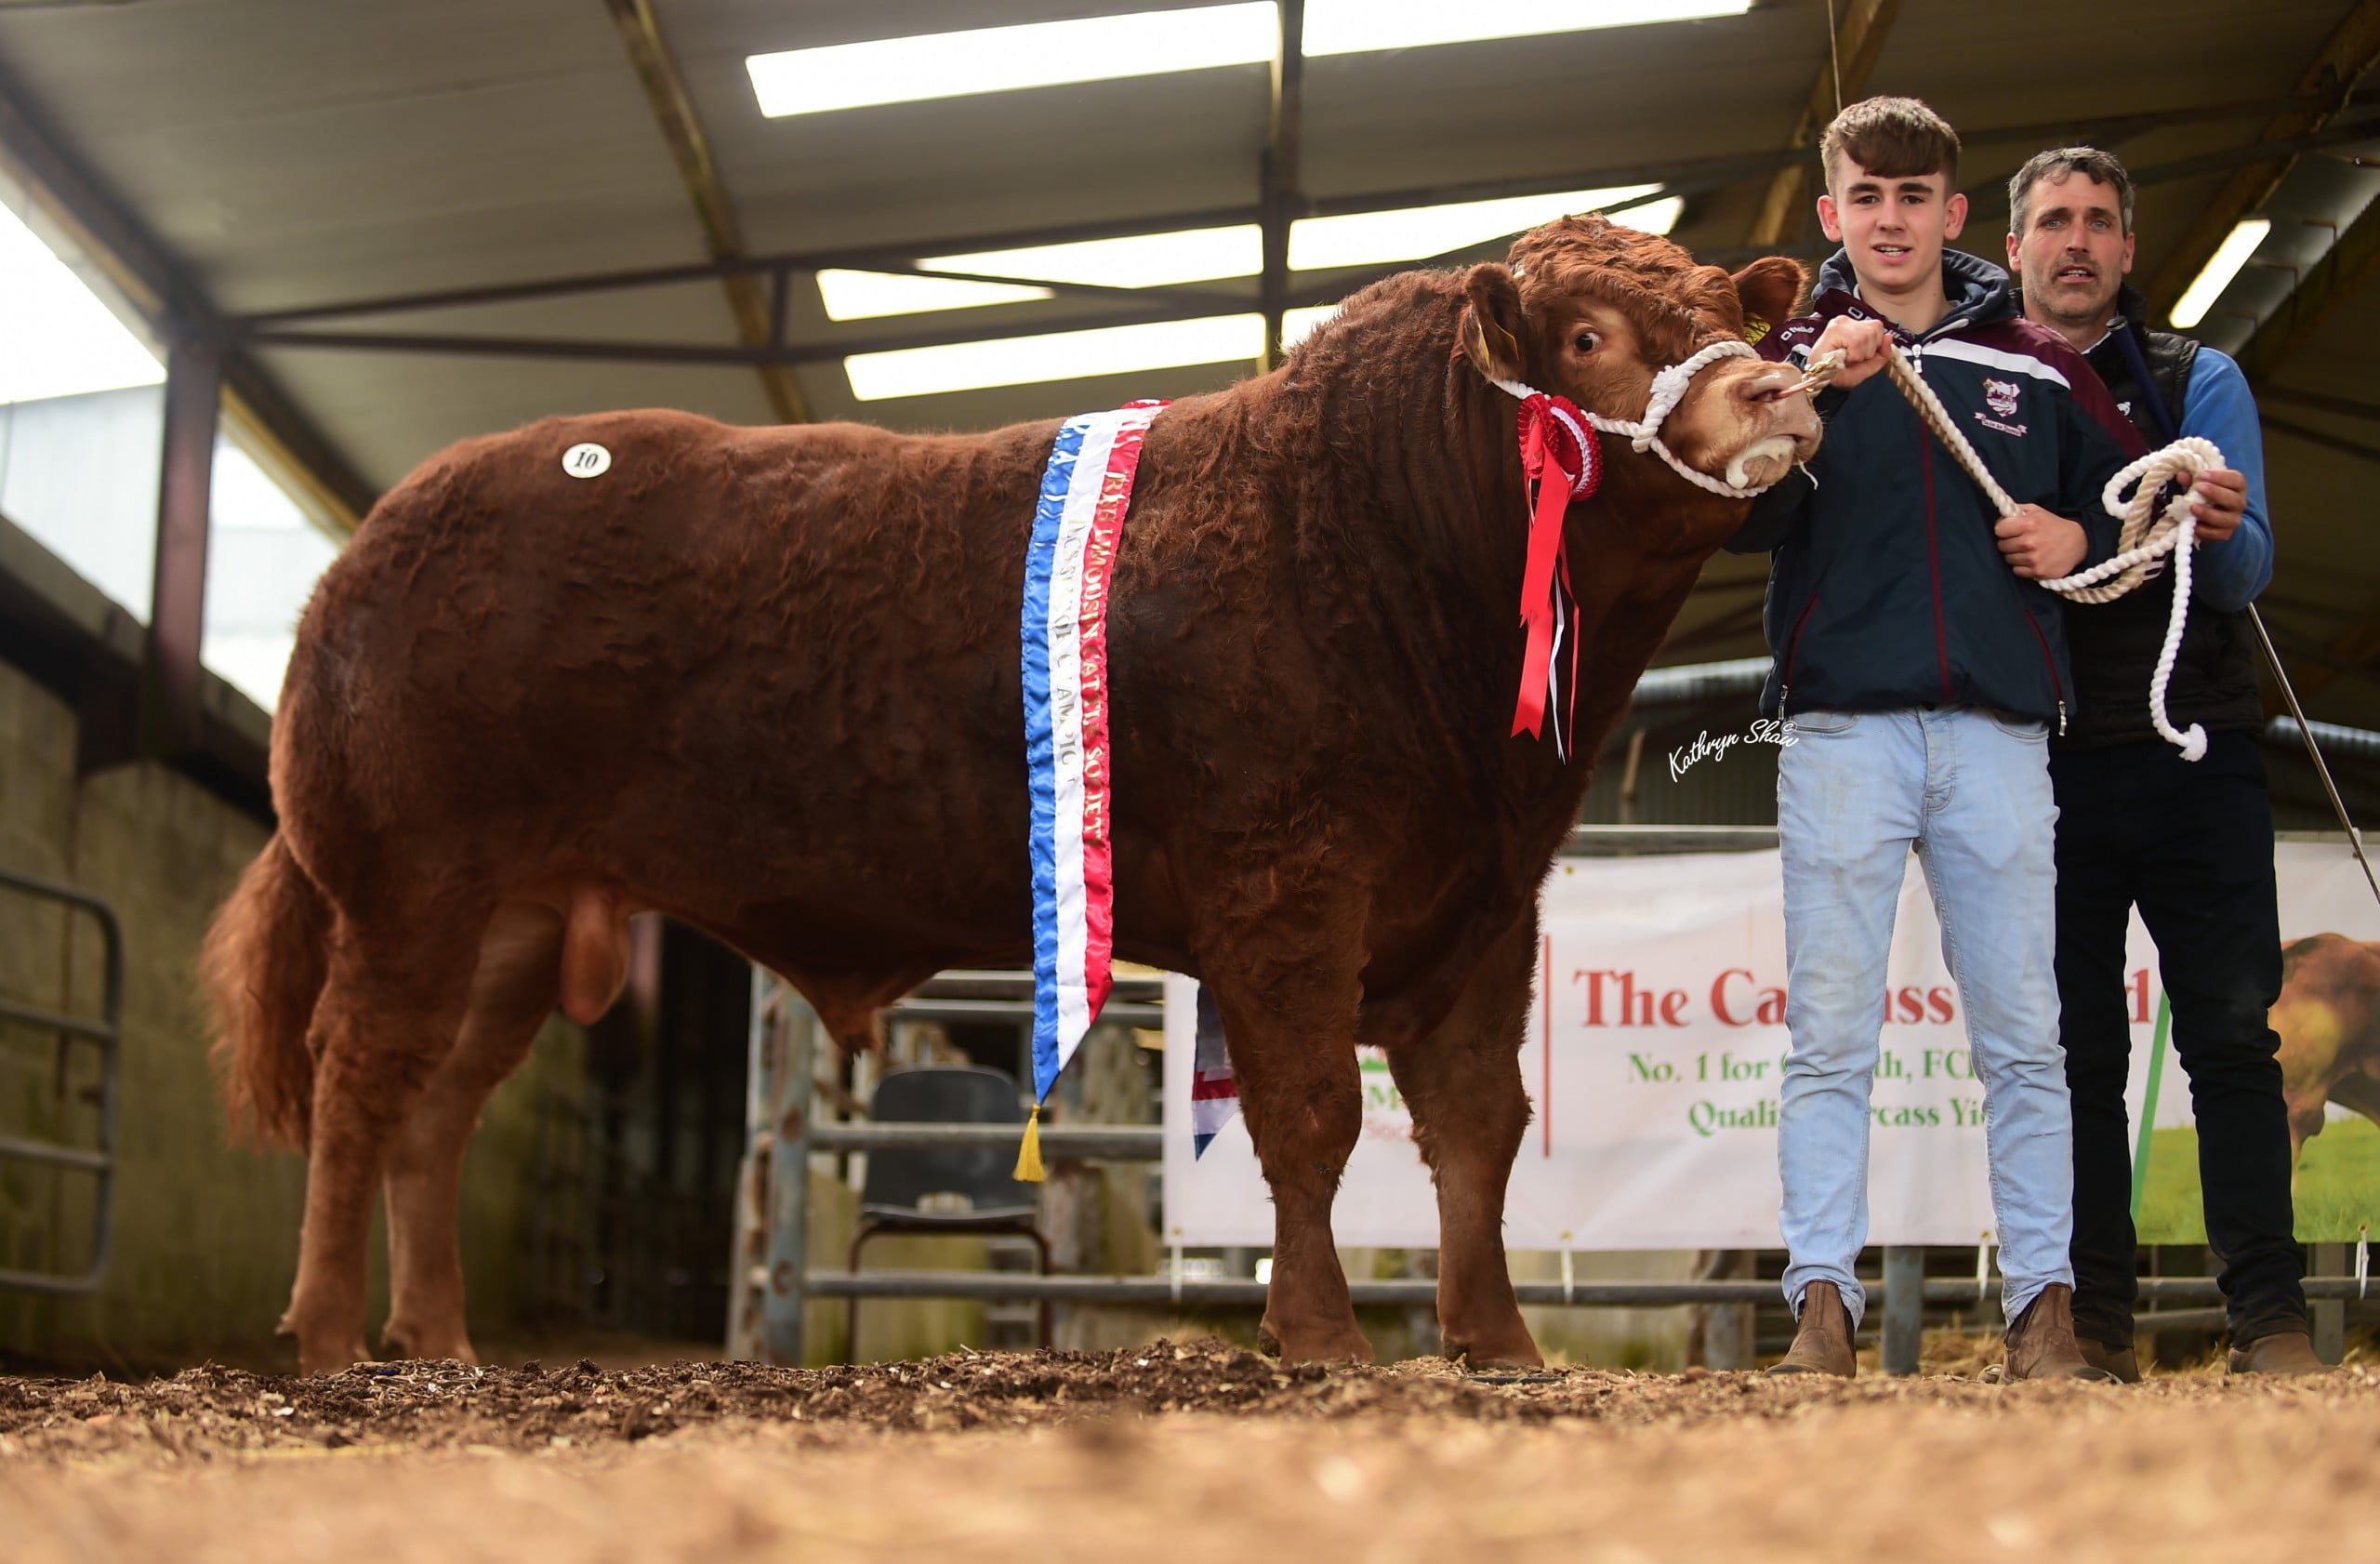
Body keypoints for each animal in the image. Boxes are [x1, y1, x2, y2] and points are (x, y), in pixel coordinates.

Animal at [202, 214, 1820, 1373]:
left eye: (1729, 314)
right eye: (1591, 332)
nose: (1776, 387)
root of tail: (377, 539)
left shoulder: (1486, 903)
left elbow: (1479, 1127)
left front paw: (1498, 1341)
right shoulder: (1286, 882)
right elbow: (1310, 1116)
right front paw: (1317, 1335)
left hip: (518, 921)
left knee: (435, 1111)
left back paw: (439, 1343)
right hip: (409, 885)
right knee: (359, 1085)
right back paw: (333, 1338)